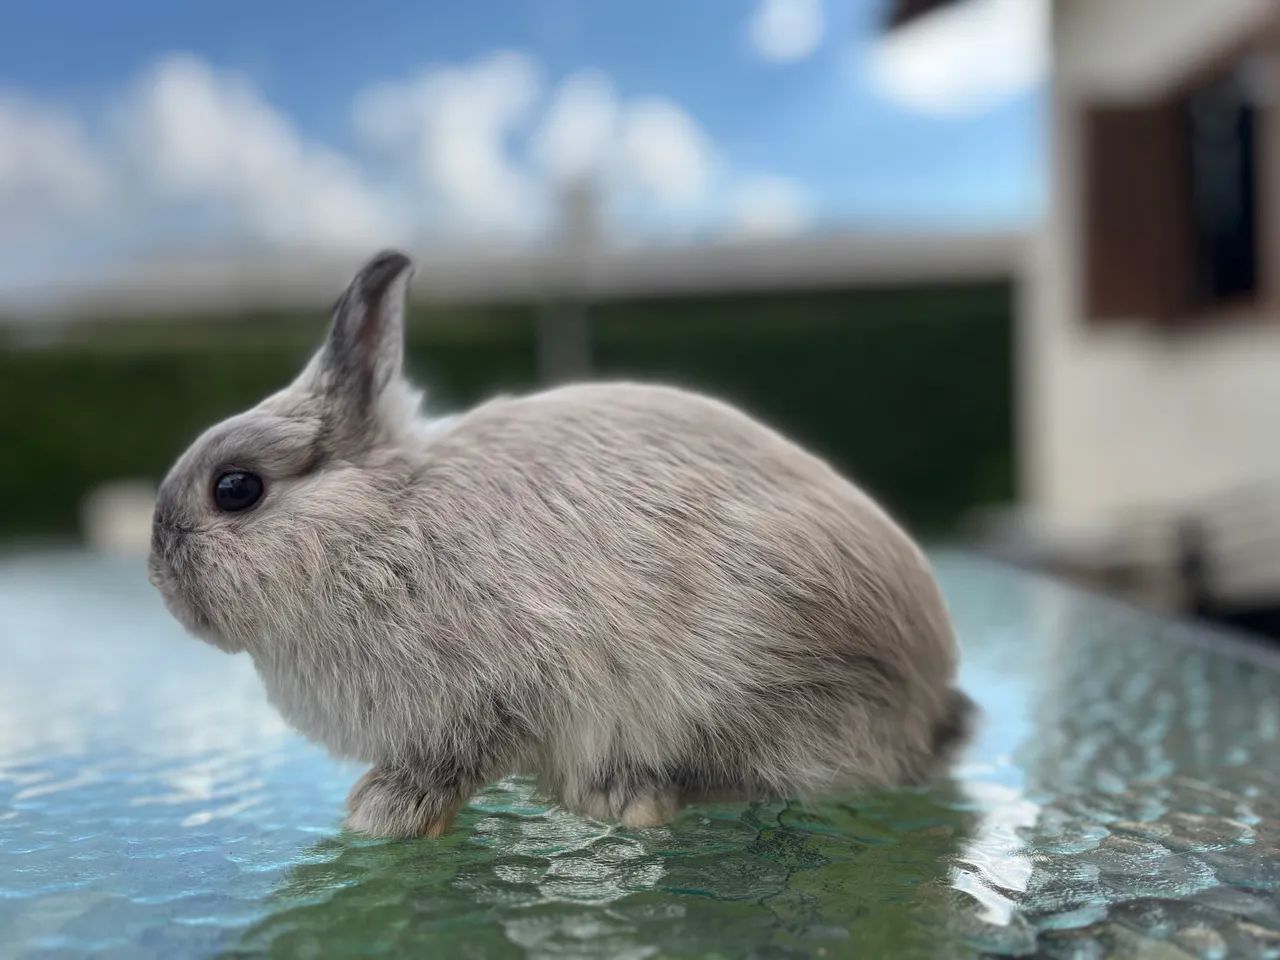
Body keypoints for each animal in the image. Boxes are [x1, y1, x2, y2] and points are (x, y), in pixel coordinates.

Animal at [149, 250, 974, 838]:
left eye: (236, 488)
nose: (159, 579)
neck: (376, 526)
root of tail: (929, 699)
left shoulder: (495, 696)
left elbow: (455, 760)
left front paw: (385, 811)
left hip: (756, 678)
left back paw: (627, 795)